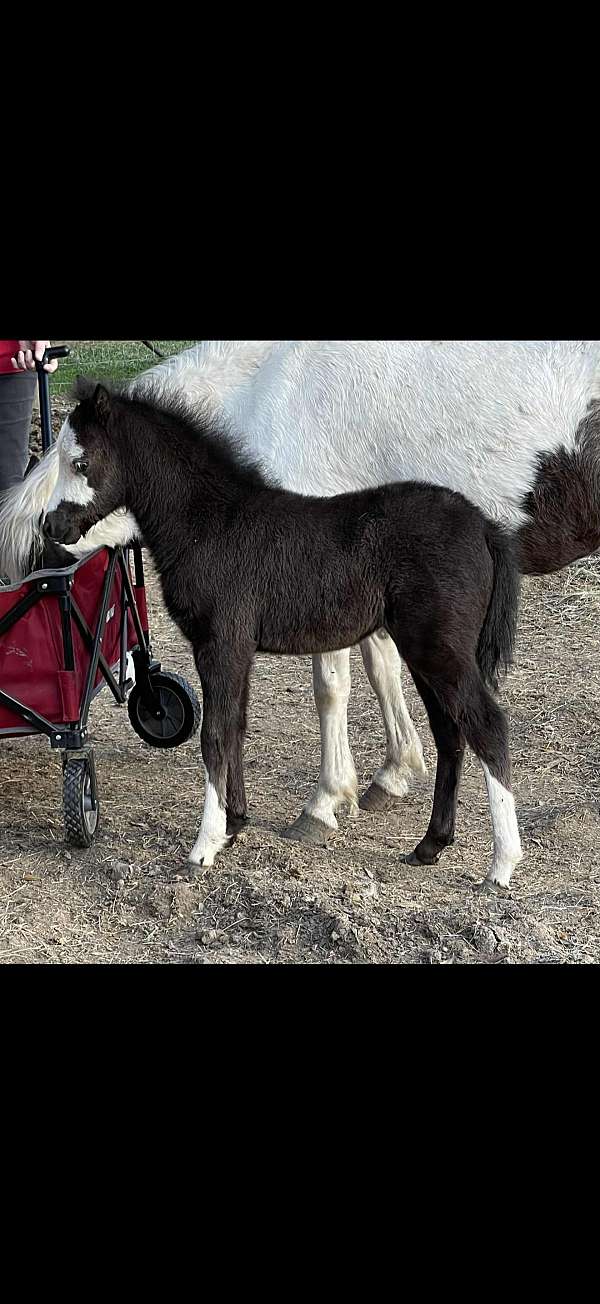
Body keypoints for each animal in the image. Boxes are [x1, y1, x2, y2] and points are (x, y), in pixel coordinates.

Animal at [1, 341, 599, 848]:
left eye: (79, 463)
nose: (53, 530)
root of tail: (481, 527)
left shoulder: (275, 614)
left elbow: (308, 697)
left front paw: (307, 810)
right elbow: (349, 681)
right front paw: (382, 777)